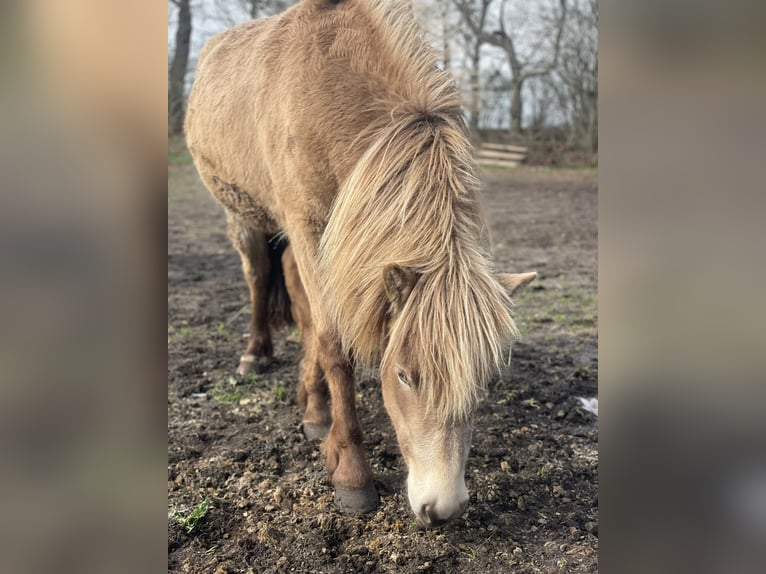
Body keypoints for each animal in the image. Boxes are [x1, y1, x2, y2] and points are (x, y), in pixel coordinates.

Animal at [185, 0, 536, 526]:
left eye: (485, 378)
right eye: (405, 375)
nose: (443, 508)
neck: (329, 89)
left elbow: (320, 327)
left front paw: (317, 413)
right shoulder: (305, 224)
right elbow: (334, 342)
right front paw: (351, 473)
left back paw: (312, 405)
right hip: (244, 215)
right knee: (259, 278)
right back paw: (256, 354)